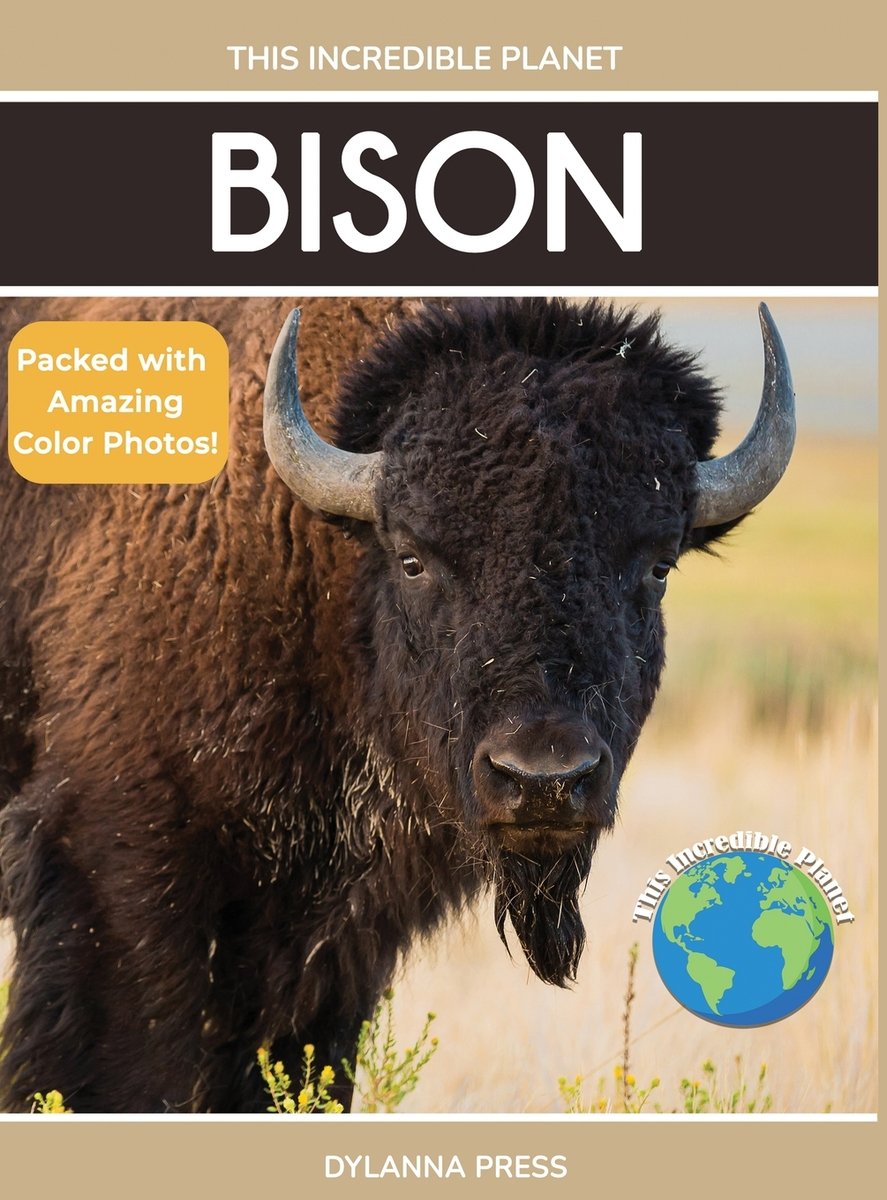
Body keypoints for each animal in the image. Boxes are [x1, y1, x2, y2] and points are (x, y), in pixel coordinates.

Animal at [0, 296, 794, 1112]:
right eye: (413, 558)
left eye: (658, 566)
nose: (544, 779)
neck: (315, 556)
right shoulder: (114, 866)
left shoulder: (330, 942)